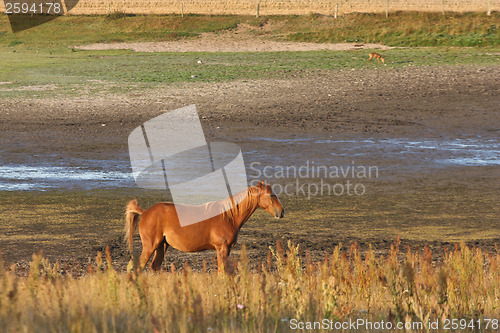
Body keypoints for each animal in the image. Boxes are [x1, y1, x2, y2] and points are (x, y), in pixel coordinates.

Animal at [123, 182, 284, 272]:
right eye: (271, 195)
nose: (281, 212)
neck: (228, 216)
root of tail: (145, 212)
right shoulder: (222, 248)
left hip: (161, 246)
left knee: (154, 267)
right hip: (150, 246)